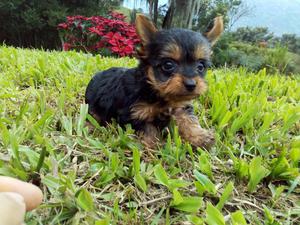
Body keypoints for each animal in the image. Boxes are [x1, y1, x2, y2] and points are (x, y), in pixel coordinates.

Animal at [84, 13, 223, 149]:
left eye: (200, 66)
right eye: (168, 65)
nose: (191, 84)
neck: (155, 90)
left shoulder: (181, 106)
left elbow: (188, 119)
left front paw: (200, 137)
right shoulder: (135, 113)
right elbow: (147, 129)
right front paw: (154, 147)